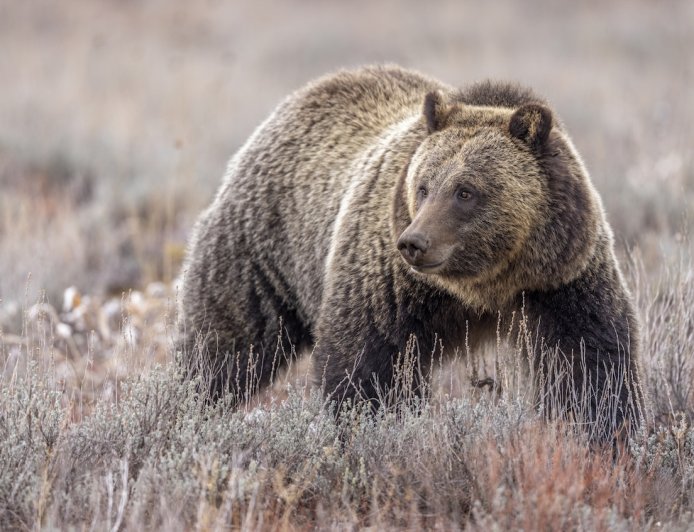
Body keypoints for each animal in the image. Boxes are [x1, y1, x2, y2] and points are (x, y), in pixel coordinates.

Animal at [178, 65, 644, 441]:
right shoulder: (388, 284)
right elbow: (365, 366)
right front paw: (373, 428)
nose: (414, 242)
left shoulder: (560, 279)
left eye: (465, 190)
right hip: (263, 252)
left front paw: (603, 434)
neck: (483, 287)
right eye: (423, 186)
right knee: (226, 342)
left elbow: (589, 363)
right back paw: (187, 403)